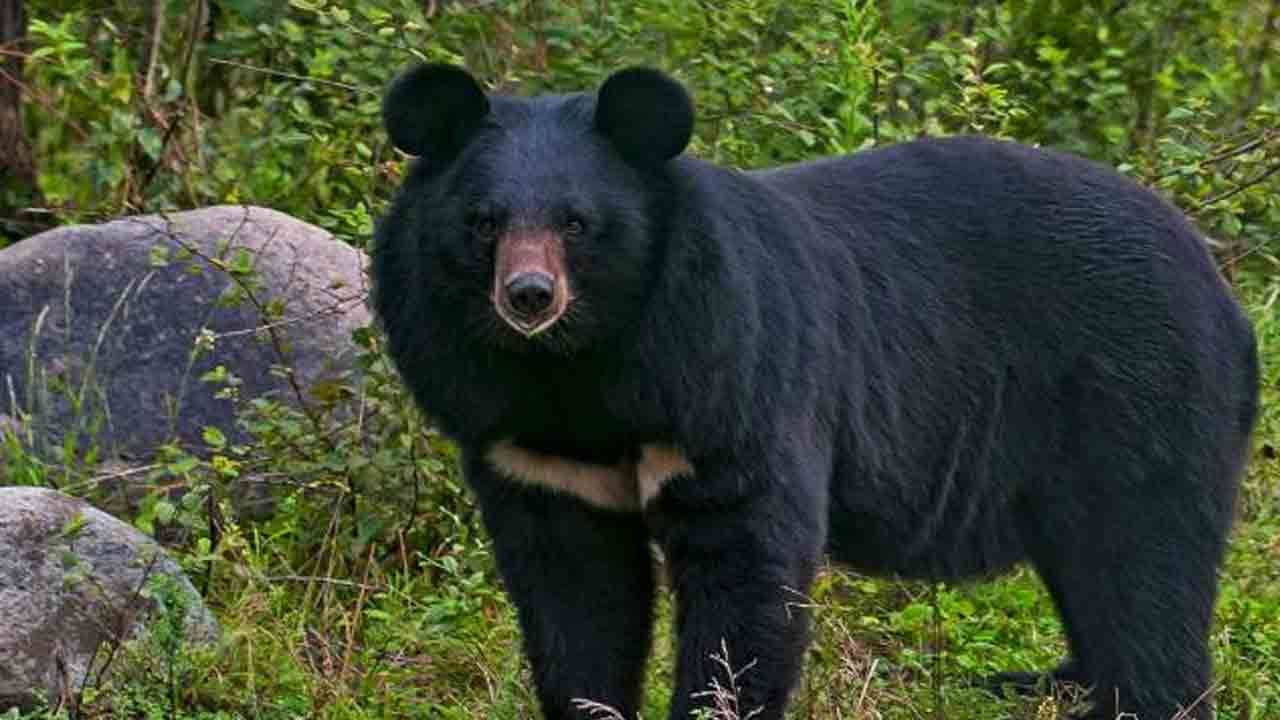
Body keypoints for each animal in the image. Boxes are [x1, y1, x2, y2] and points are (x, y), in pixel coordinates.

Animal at [368, 63, 1259, 717]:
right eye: (483, 222)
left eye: (578, 224)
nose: (527, 297)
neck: (578, 370)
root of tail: (1220, 285)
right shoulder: (524, 442)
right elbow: (574, 593)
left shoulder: (727, 379)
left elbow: (745, 572)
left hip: (1138, 395)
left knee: (1143, 565)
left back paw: (1143, 697)